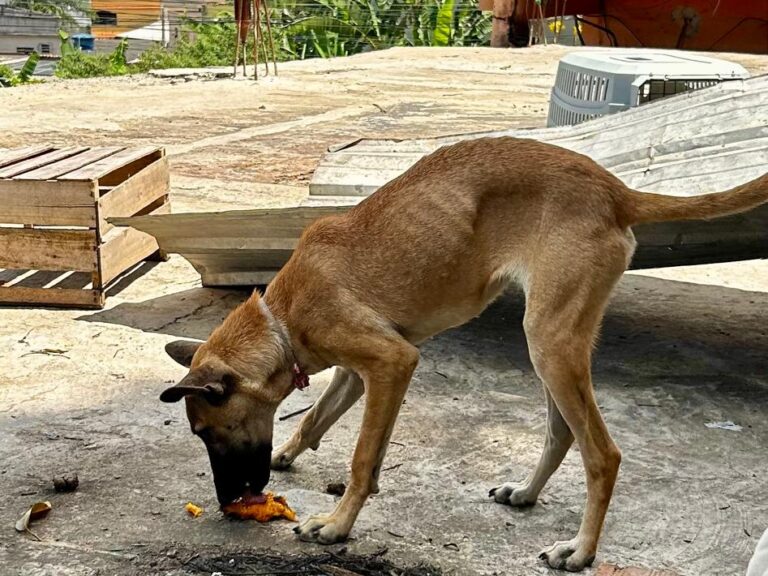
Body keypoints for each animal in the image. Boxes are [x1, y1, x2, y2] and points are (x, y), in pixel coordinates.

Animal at [162, 136, 768, 572]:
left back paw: (580, 549)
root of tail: (615, 190)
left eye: (206, 432)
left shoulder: (392, 362)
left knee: (603, 453)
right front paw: (291, 453)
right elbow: (319, 420)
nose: (229, 501)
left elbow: (361, 457)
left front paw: (336, 525)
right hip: (552, 343)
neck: (281, 319)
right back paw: (526, 493)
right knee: (562, 432)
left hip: (550, 342)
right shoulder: (365, 372)